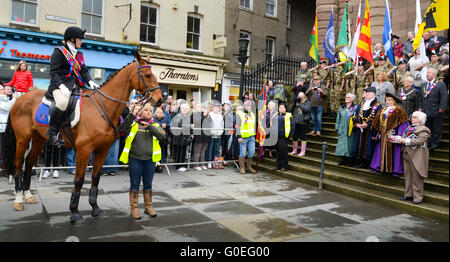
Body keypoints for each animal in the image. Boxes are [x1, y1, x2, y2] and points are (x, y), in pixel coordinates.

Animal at [1, 52, 163, 223]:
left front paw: (95, 207)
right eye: (147, 75)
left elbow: (95, 178)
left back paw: (28, 195)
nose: (160, 100)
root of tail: (20, 99)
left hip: (38, 139)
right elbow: (78, 180)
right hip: (23, 139)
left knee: (29, 163)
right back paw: (19, 199)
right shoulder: (83, 150)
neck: (103, 107)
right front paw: (74, 211)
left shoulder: (102, 150)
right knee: (18, 164)